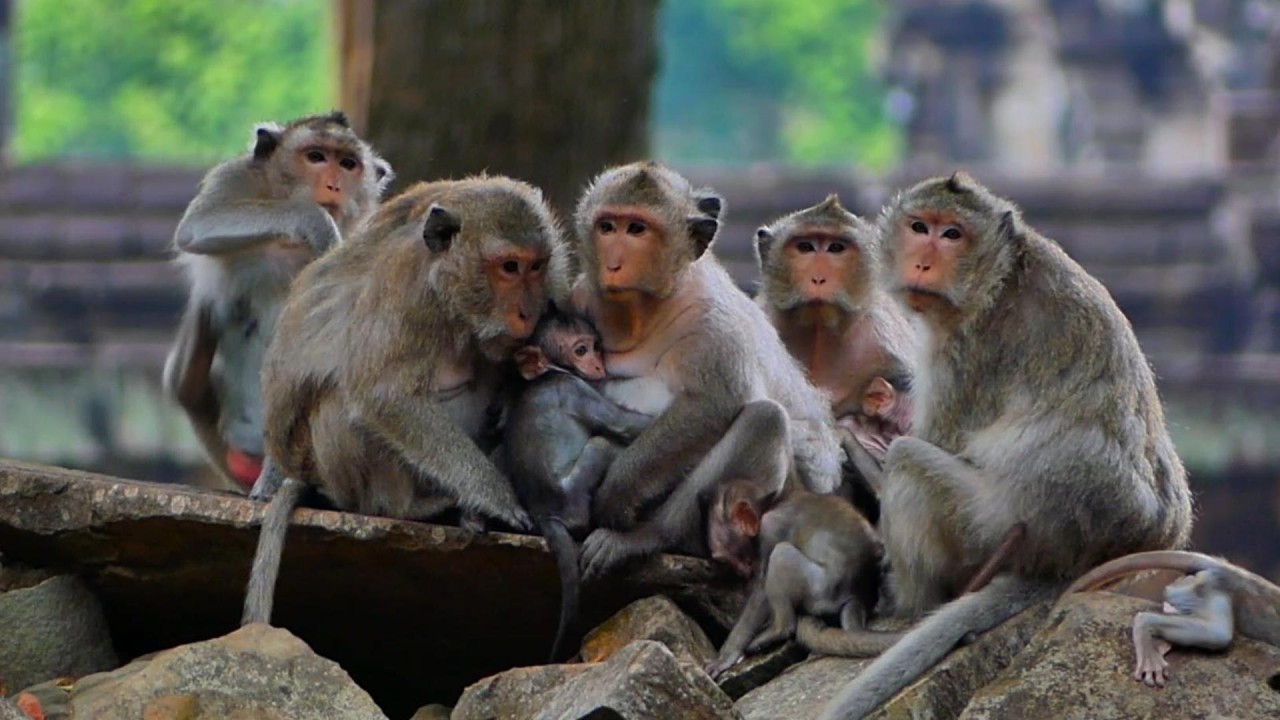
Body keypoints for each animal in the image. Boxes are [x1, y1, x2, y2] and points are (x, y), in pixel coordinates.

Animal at [163, 111, 393, 492]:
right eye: (316, 157)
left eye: (348, 164)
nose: (334, 185)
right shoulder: (234, 178)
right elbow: (200, 223)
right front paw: (315, 221)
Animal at [241, 175, 561, 626]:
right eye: (509, 267)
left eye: (535, 267)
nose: (527, 314)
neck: (449, 293)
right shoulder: (405, 287)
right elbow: (383, 395)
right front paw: (497, 496)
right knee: (342, 405)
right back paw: (409, 506)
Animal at [502, 306, 654, 662]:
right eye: (580, 350)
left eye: (596, 347)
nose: (598, 364)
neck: (551, 372)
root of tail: (543, 514)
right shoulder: (576, 390)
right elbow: (623, 424)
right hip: (573, 494)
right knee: (601, 444)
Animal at [564, 162, 844, 580]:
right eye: (607, 226)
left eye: (637, 229)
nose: (614, 263)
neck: (646, 310)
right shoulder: (580, 296)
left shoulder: (711, 320)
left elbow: (715, 402)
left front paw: (618, 490)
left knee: (763, 420)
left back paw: (648, 536)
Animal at [817, 171, 1192, 720]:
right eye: (919, 227)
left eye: (952, 234)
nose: (923, 262)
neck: (1000, 275)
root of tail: (1072, 563)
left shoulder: (965, 350)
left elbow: (929, 442)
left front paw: (845, 430)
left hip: (988, 528)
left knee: (911, 464)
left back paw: (905, 601)